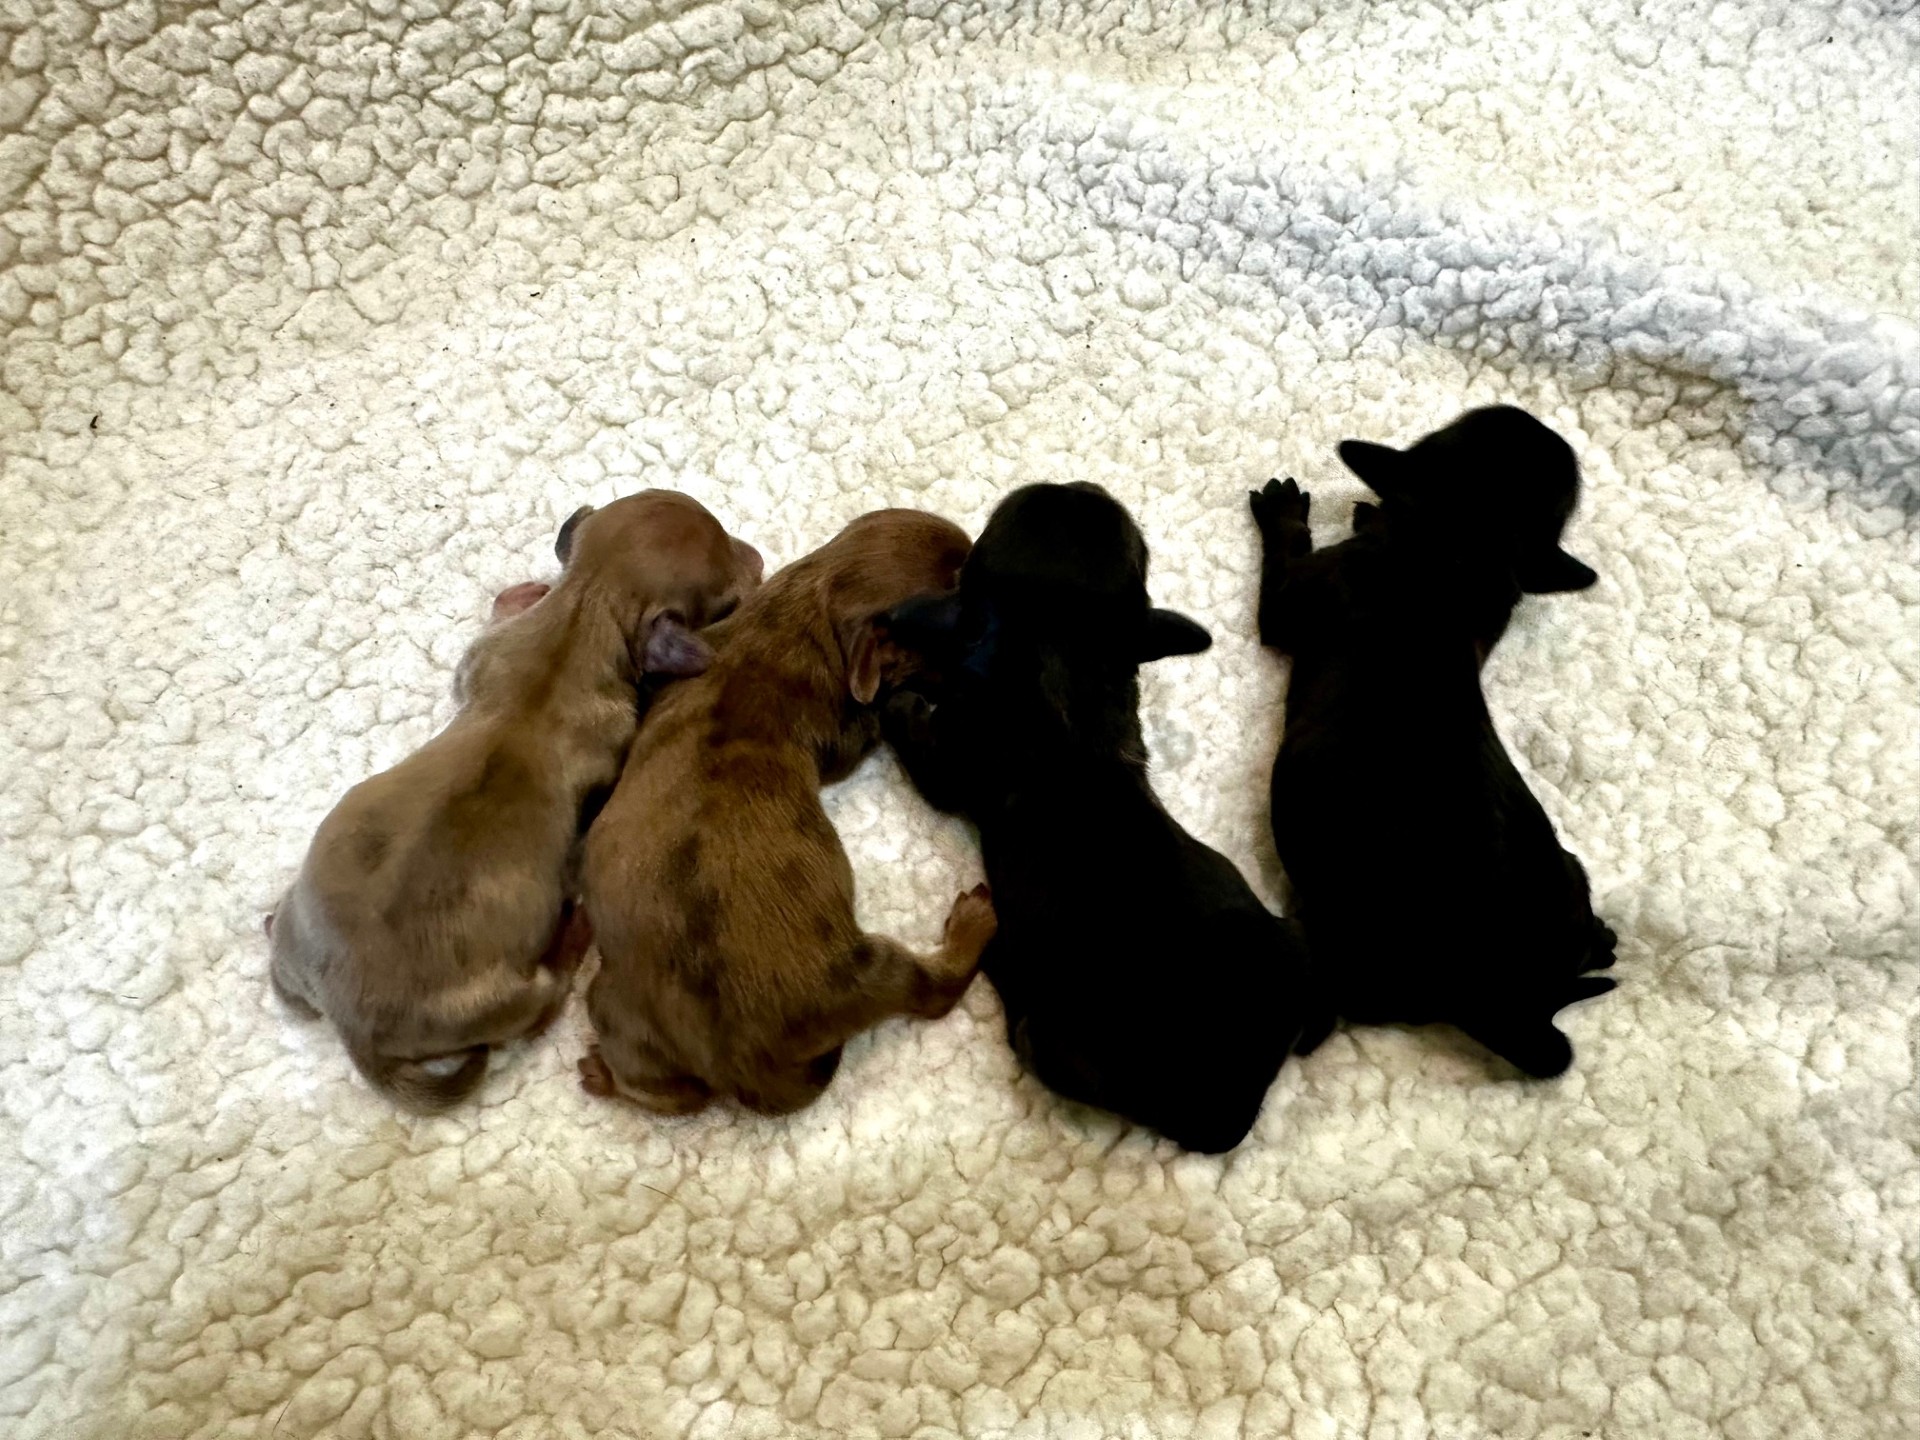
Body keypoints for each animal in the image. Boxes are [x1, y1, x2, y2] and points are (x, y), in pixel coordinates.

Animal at [269, 491, 764, 1108]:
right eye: (725, 593)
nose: (759, 556)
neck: (583, 613)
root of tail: (353, 1026)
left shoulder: (490, 649)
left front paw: (525, 593)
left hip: (299, 928)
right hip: (510, 1000)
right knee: (544, 1002)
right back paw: (573, 933)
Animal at [579, 508, 996, 1117]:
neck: (808, 603)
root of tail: (742, 1064)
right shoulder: (840, 731)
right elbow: (863, 725)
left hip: (613, 1008)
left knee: (669, 1093)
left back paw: (601, 1074)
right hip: (874, 969)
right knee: (930, 990)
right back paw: (974, 923)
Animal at [877, 483, 1314, 1154]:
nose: (1076, 486)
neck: (1062, 662)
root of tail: (1227, 1109)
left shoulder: (950, 761)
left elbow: (918, 730)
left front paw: (899, 693)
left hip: (1050, 1042)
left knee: (1022, 1027)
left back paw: (997, 954)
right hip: (1293, 945)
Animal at [1250, 405, 1615, 1077]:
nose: (1526, 414)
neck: (1455, 552)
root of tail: (1490, 999)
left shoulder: (1296, 596)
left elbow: (1286, 561)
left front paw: (1287, 511)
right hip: (1568, 877)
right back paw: (1602, 942)